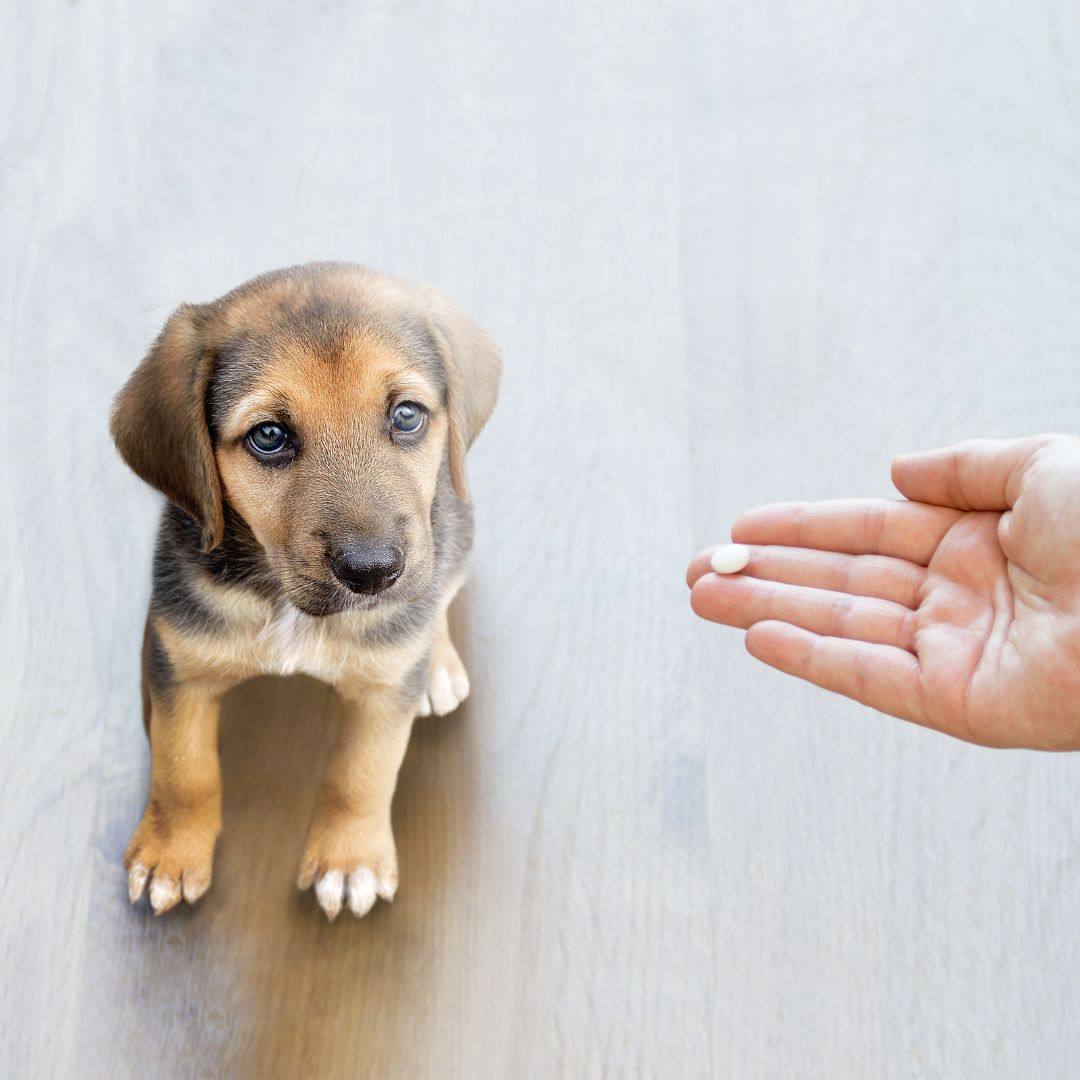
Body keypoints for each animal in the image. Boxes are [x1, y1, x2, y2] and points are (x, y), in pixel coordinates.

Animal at [111, 261, 498, 920]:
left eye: (407, 416)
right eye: (268, 436)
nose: (373, 572)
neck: (286, 604)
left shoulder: (384, 692)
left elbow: (361, 774)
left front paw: (349, 860)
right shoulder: (179, 666)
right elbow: (183, 769)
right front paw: (170, 852)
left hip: (455, 529)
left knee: (441, 591)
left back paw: (438, 663)